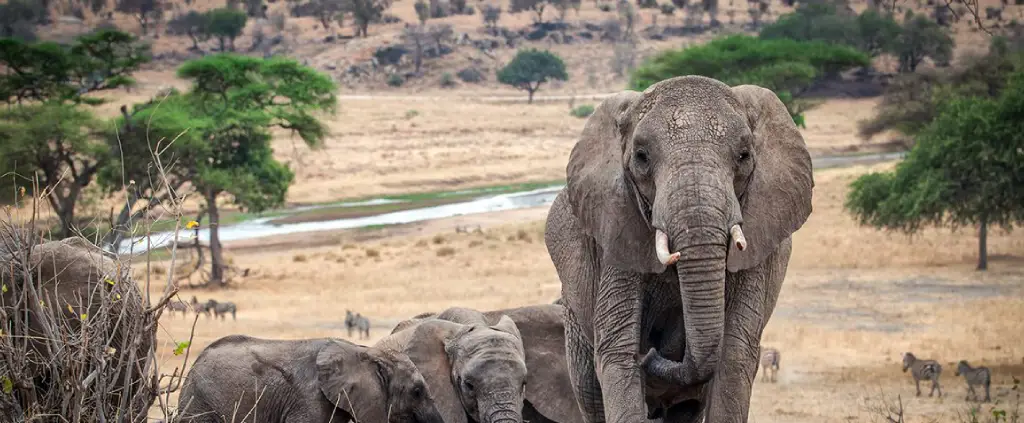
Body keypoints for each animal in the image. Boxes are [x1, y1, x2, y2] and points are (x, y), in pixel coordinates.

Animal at [544, 75, 815, 421]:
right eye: (641, 156)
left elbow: (735, 353)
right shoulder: (616, 230)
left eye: (744, 155)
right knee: (591, 395)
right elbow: (618, 351)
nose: (651, 352)